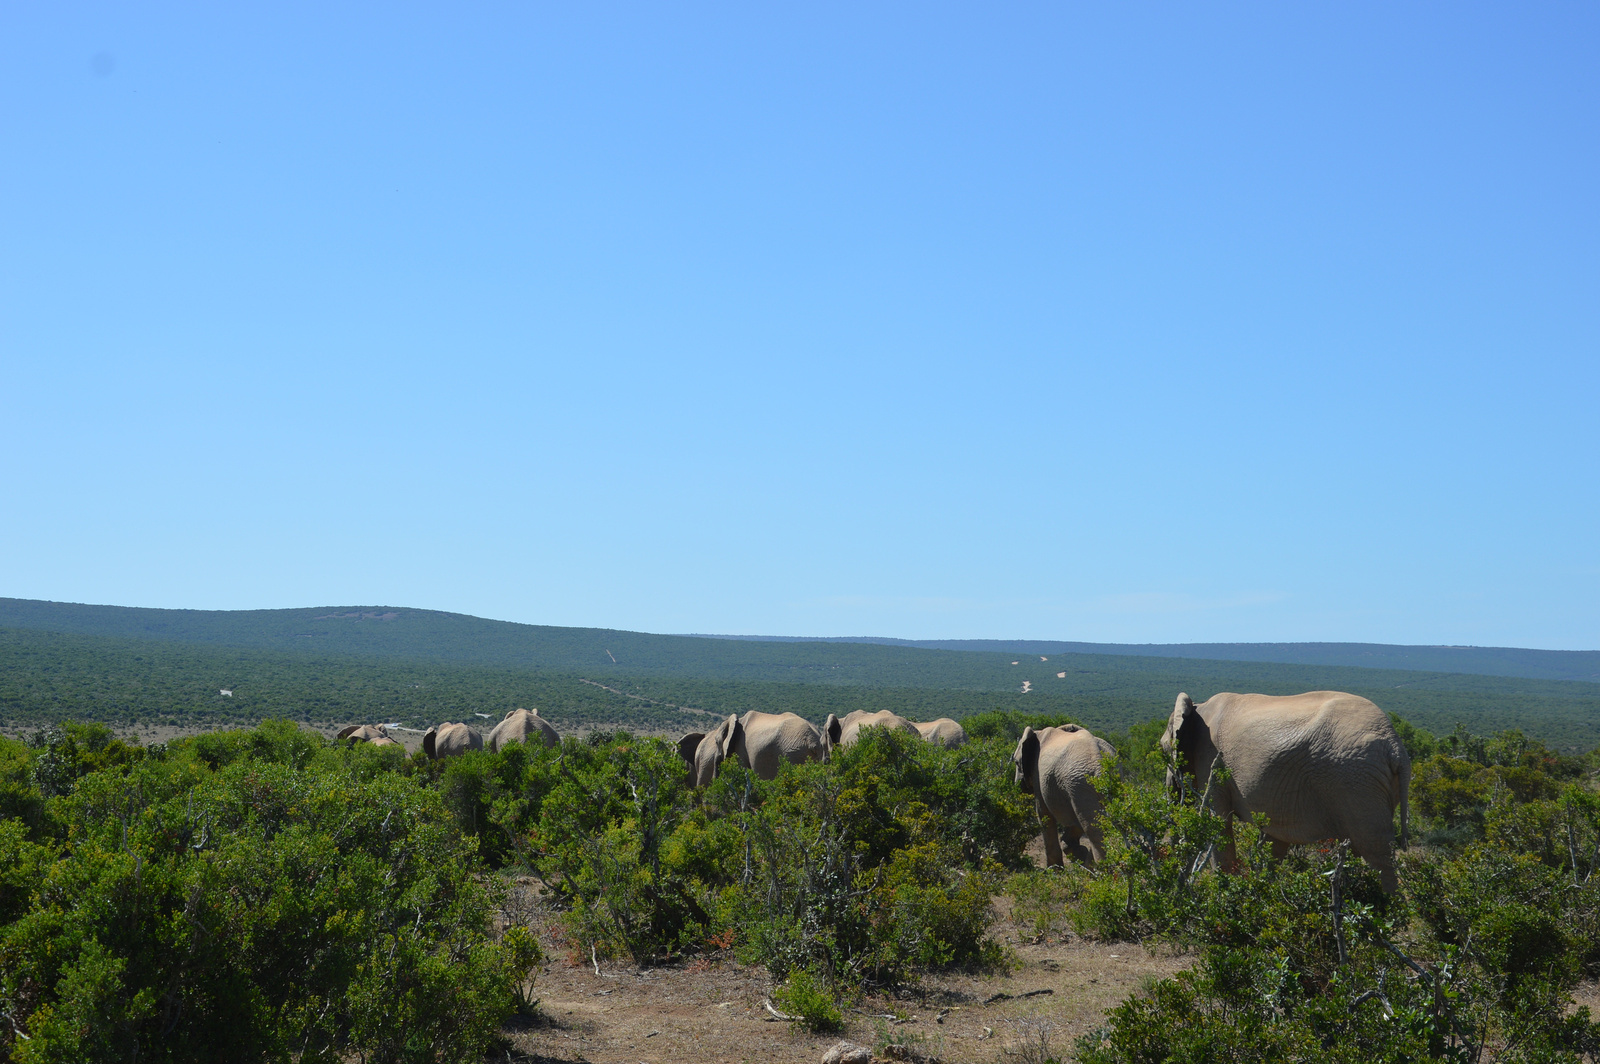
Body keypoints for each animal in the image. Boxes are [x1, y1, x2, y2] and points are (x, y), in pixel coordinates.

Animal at [1011, 723, 1113, 864]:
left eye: (1016, 762)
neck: (1038, 733)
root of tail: (1099, 763)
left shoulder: (1038, 776)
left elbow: (1043, 814)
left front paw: (1054, 868)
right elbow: (1073, 824)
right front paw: (1079, 855)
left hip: (1080, 784)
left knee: (1091, 828)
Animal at [1164, 688, 1414, 889]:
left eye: (1163, 748)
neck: (1198, 707)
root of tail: (1395, 747)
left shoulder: (1212, 762)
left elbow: (1217, 821)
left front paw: (1225, 892)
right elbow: (1275, 837)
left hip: (1355, 778)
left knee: (1374, 849)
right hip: (1365, 782)